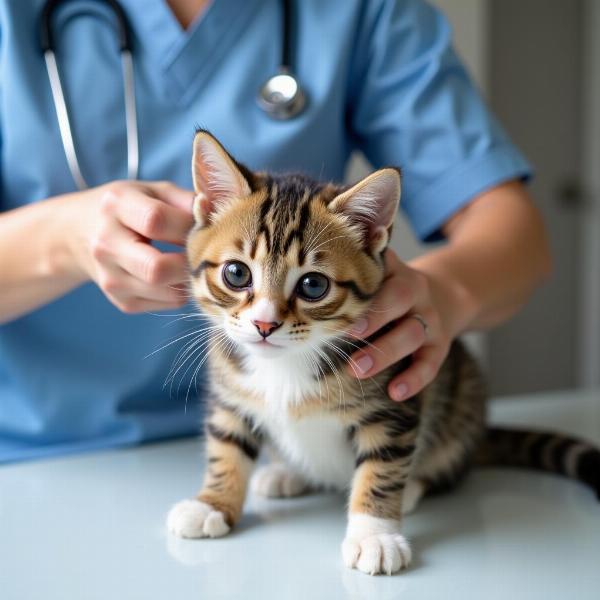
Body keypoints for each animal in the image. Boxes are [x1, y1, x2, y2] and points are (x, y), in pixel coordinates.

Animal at [166, 130, 600, 576]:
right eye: (236, 274)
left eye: (313, 286)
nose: (265, 325)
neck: (288, 363)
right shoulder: (230, 393)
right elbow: (226, 446)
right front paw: (212, 503)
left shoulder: (394, 402)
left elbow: (382, 466)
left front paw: (374, 534)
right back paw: (286, 473)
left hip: (463, 389)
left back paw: (412, 487)